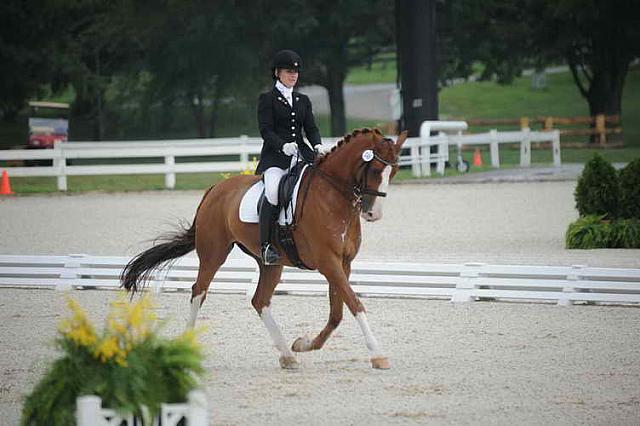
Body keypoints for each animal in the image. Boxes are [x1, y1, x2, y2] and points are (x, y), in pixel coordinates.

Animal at [121, 128, 404, 368]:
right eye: (375, 169)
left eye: (394, 172)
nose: (373, 214)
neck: (332, 195)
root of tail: (214, 189)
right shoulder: (328, 262)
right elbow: (354, 303)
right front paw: (378, 355)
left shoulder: (343, 263)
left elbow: (337, 312)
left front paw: (303, 344)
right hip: (213, 253)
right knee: (199, 291)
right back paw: (187, 346)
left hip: (270, 262)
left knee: (259, 300)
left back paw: (288, 355)